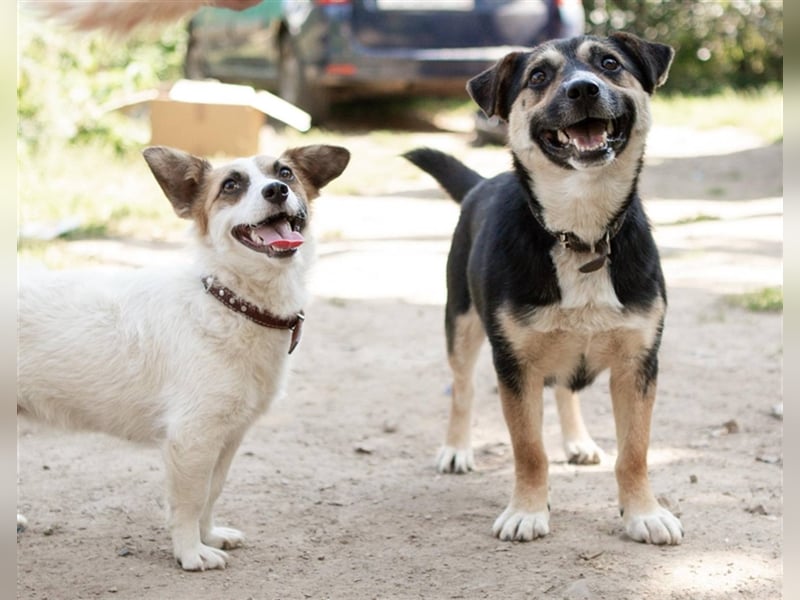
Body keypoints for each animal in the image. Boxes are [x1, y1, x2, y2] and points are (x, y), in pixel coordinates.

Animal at [18, 143, 350, 568]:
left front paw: (209, 535)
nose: (276, 190)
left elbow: (211, 492)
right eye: (231, 185)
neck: (230, 302)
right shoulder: (192, 438)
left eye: (286, 173)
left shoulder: (227, 438)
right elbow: (190, 501)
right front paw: (191, 552)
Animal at [406, 34, 680, 548]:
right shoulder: (515, 365)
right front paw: (527, 511)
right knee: (462, 388)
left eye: (609, 63)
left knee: (565, 389)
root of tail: (482, 182)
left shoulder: (638, 364)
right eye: (538, 77)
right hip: (461, 322)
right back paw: (456, 449)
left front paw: (643, 512)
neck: (581, 233)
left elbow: (634, 451)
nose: (583, 89)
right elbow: (529, 448)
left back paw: (577, 441)